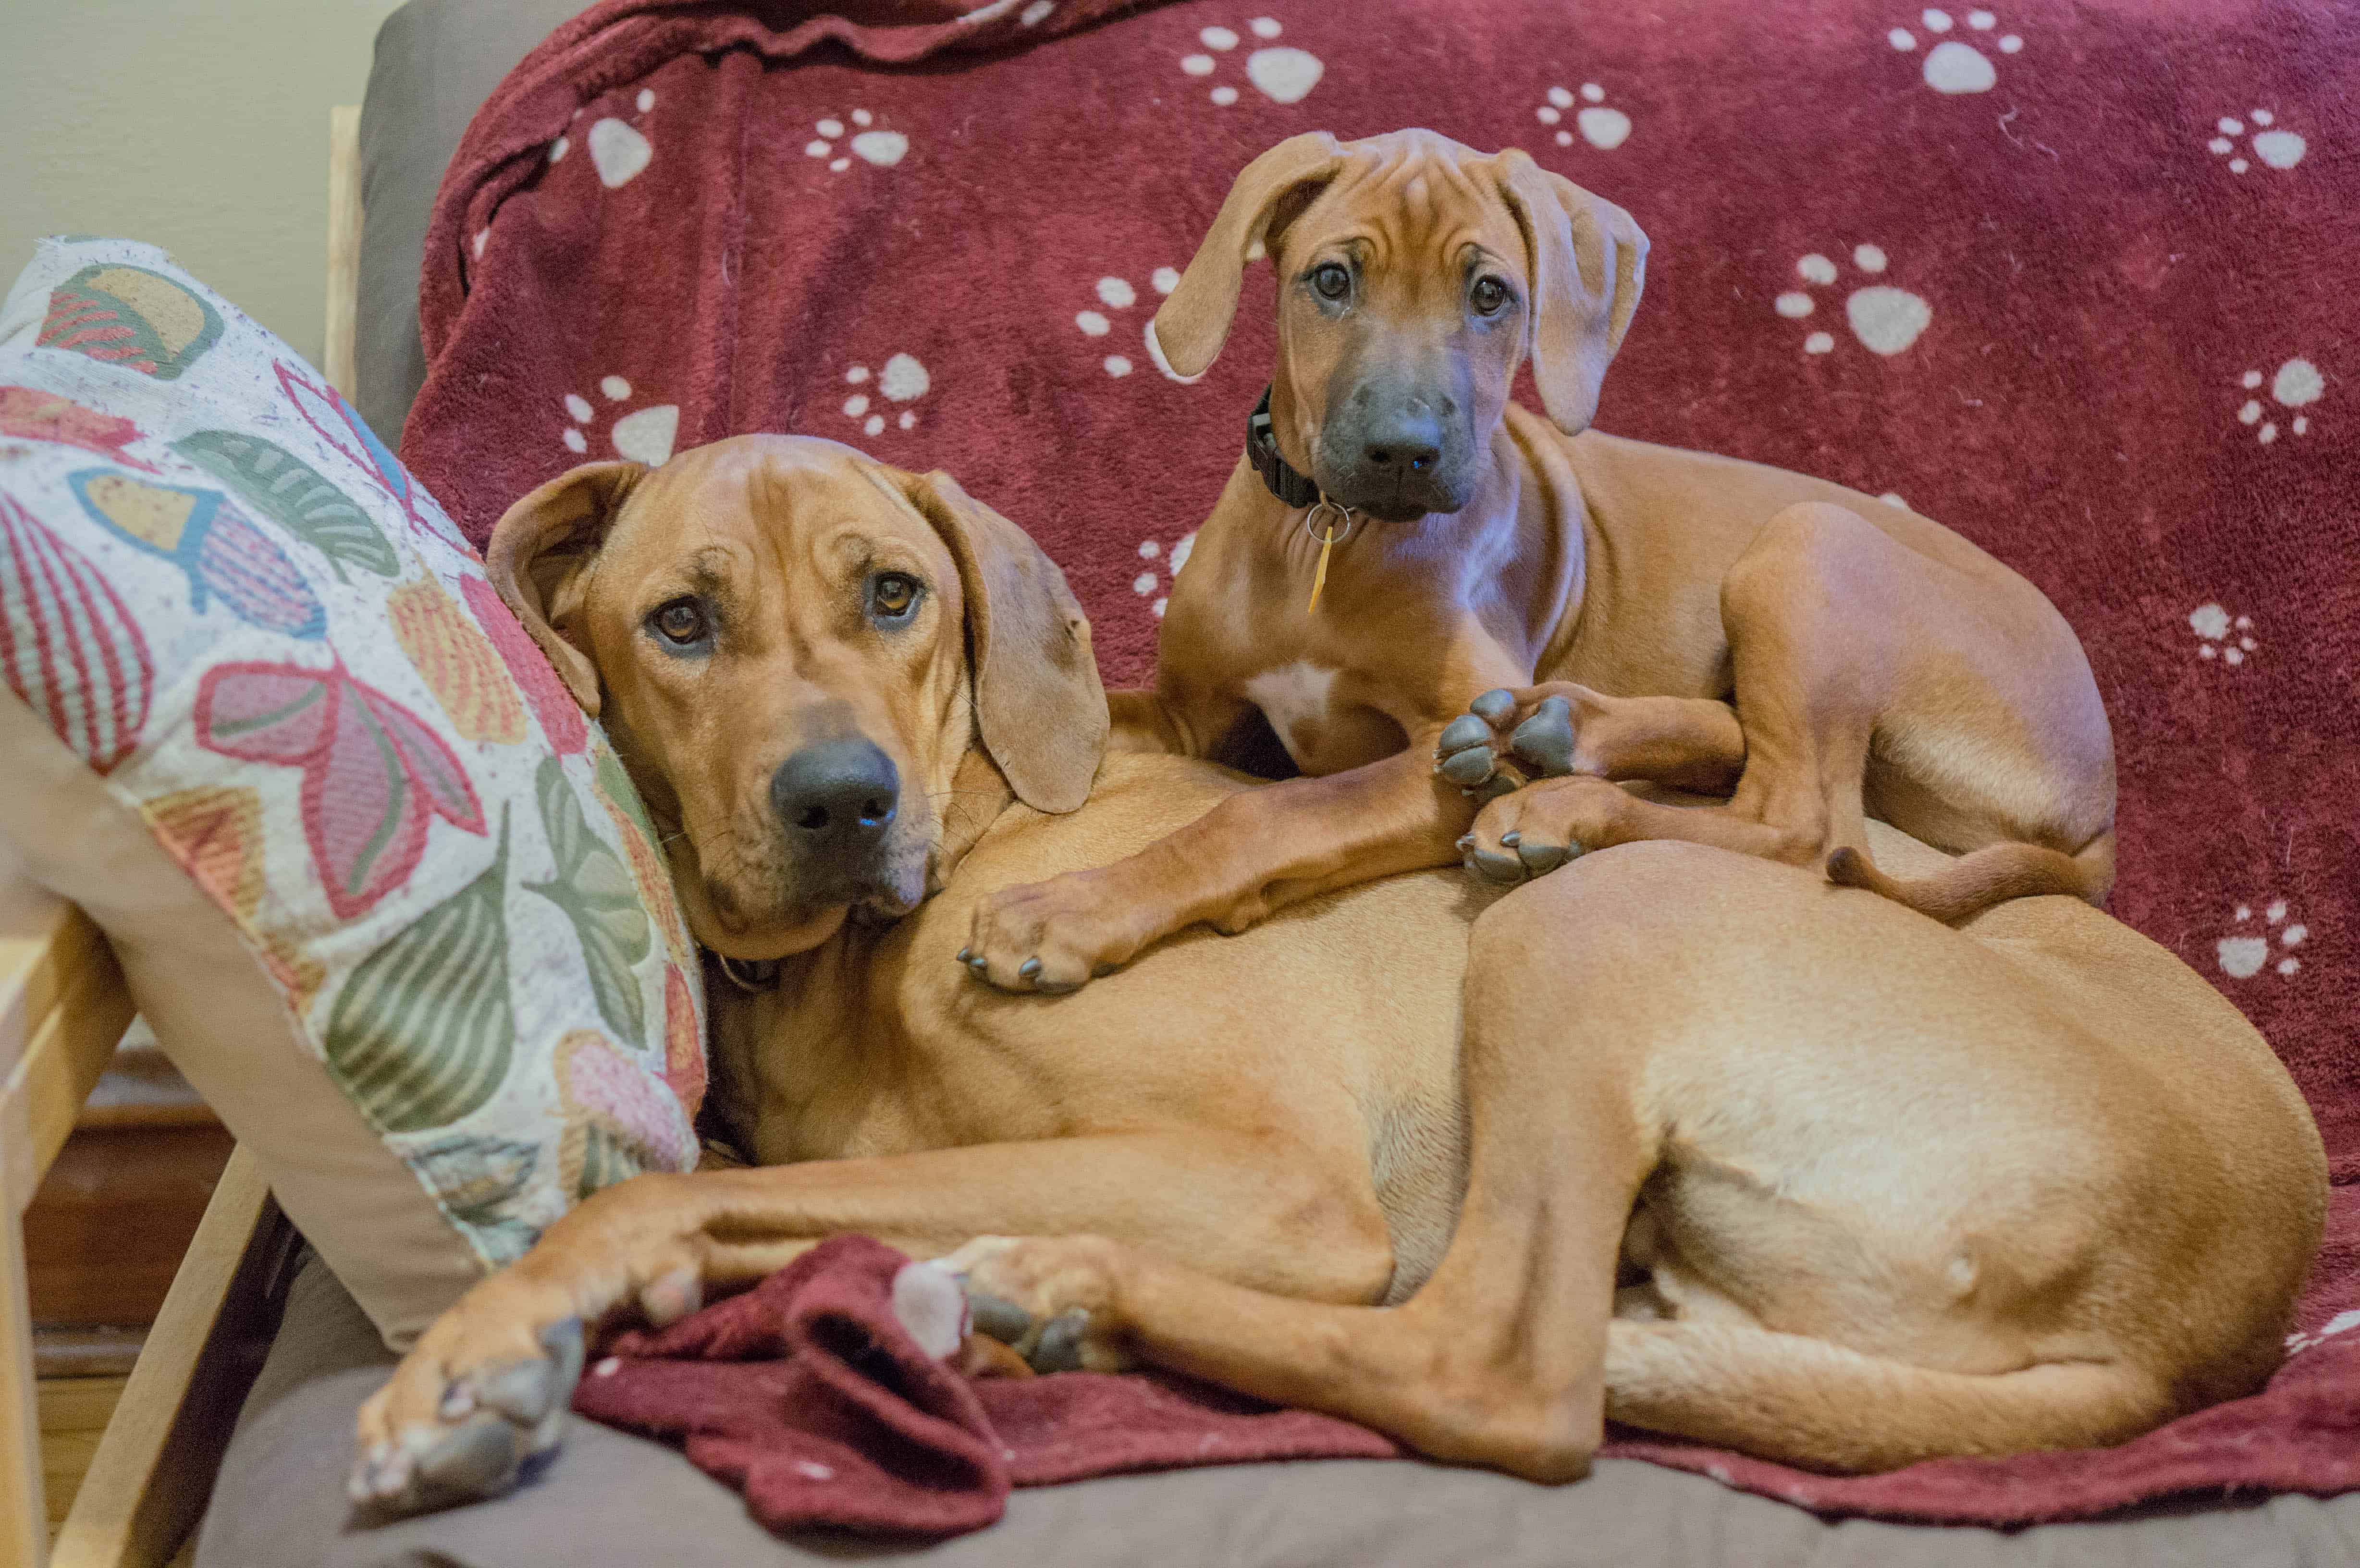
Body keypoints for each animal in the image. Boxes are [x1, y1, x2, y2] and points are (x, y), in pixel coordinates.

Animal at [349, 434, 2322, 1511]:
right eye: (679, 623)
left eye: (894, 593)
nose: (841, 802)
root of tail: (2206, 1316)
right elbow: (774, 1205)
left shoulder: (1264, 1175)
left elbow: (701, 1192)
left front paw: (477, 1349)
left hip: (1585, 923)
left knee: (1495, 1368)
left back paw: (1072, 1282)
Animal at [958, 128, 2124, 996]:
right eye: (1329, 280)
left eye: (1490, 296)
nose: (1403, 453)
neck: (1327, 542)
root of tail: (2101, 793)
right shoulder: (1195, 714)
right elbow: (1097, 719)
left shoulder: (1426, 757)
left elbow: (1266, 811)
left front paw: (1069, 908)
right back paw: (1557, 733)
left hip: (1808, 543)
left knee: (1800, 824)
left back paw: (1554, 802)